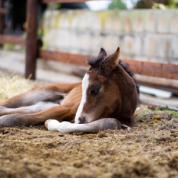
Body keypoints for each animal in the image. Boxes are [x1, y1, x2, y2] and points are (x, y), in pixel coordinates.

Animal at [0, 47, 138, 132]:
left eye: (94, 89)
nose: (79, 119)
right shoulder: (68, 108)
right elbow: (19, 118)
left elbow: (110, 123)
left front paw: (52, 123)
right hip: (37, 94)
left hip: (49, 103)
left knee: (33, 108)